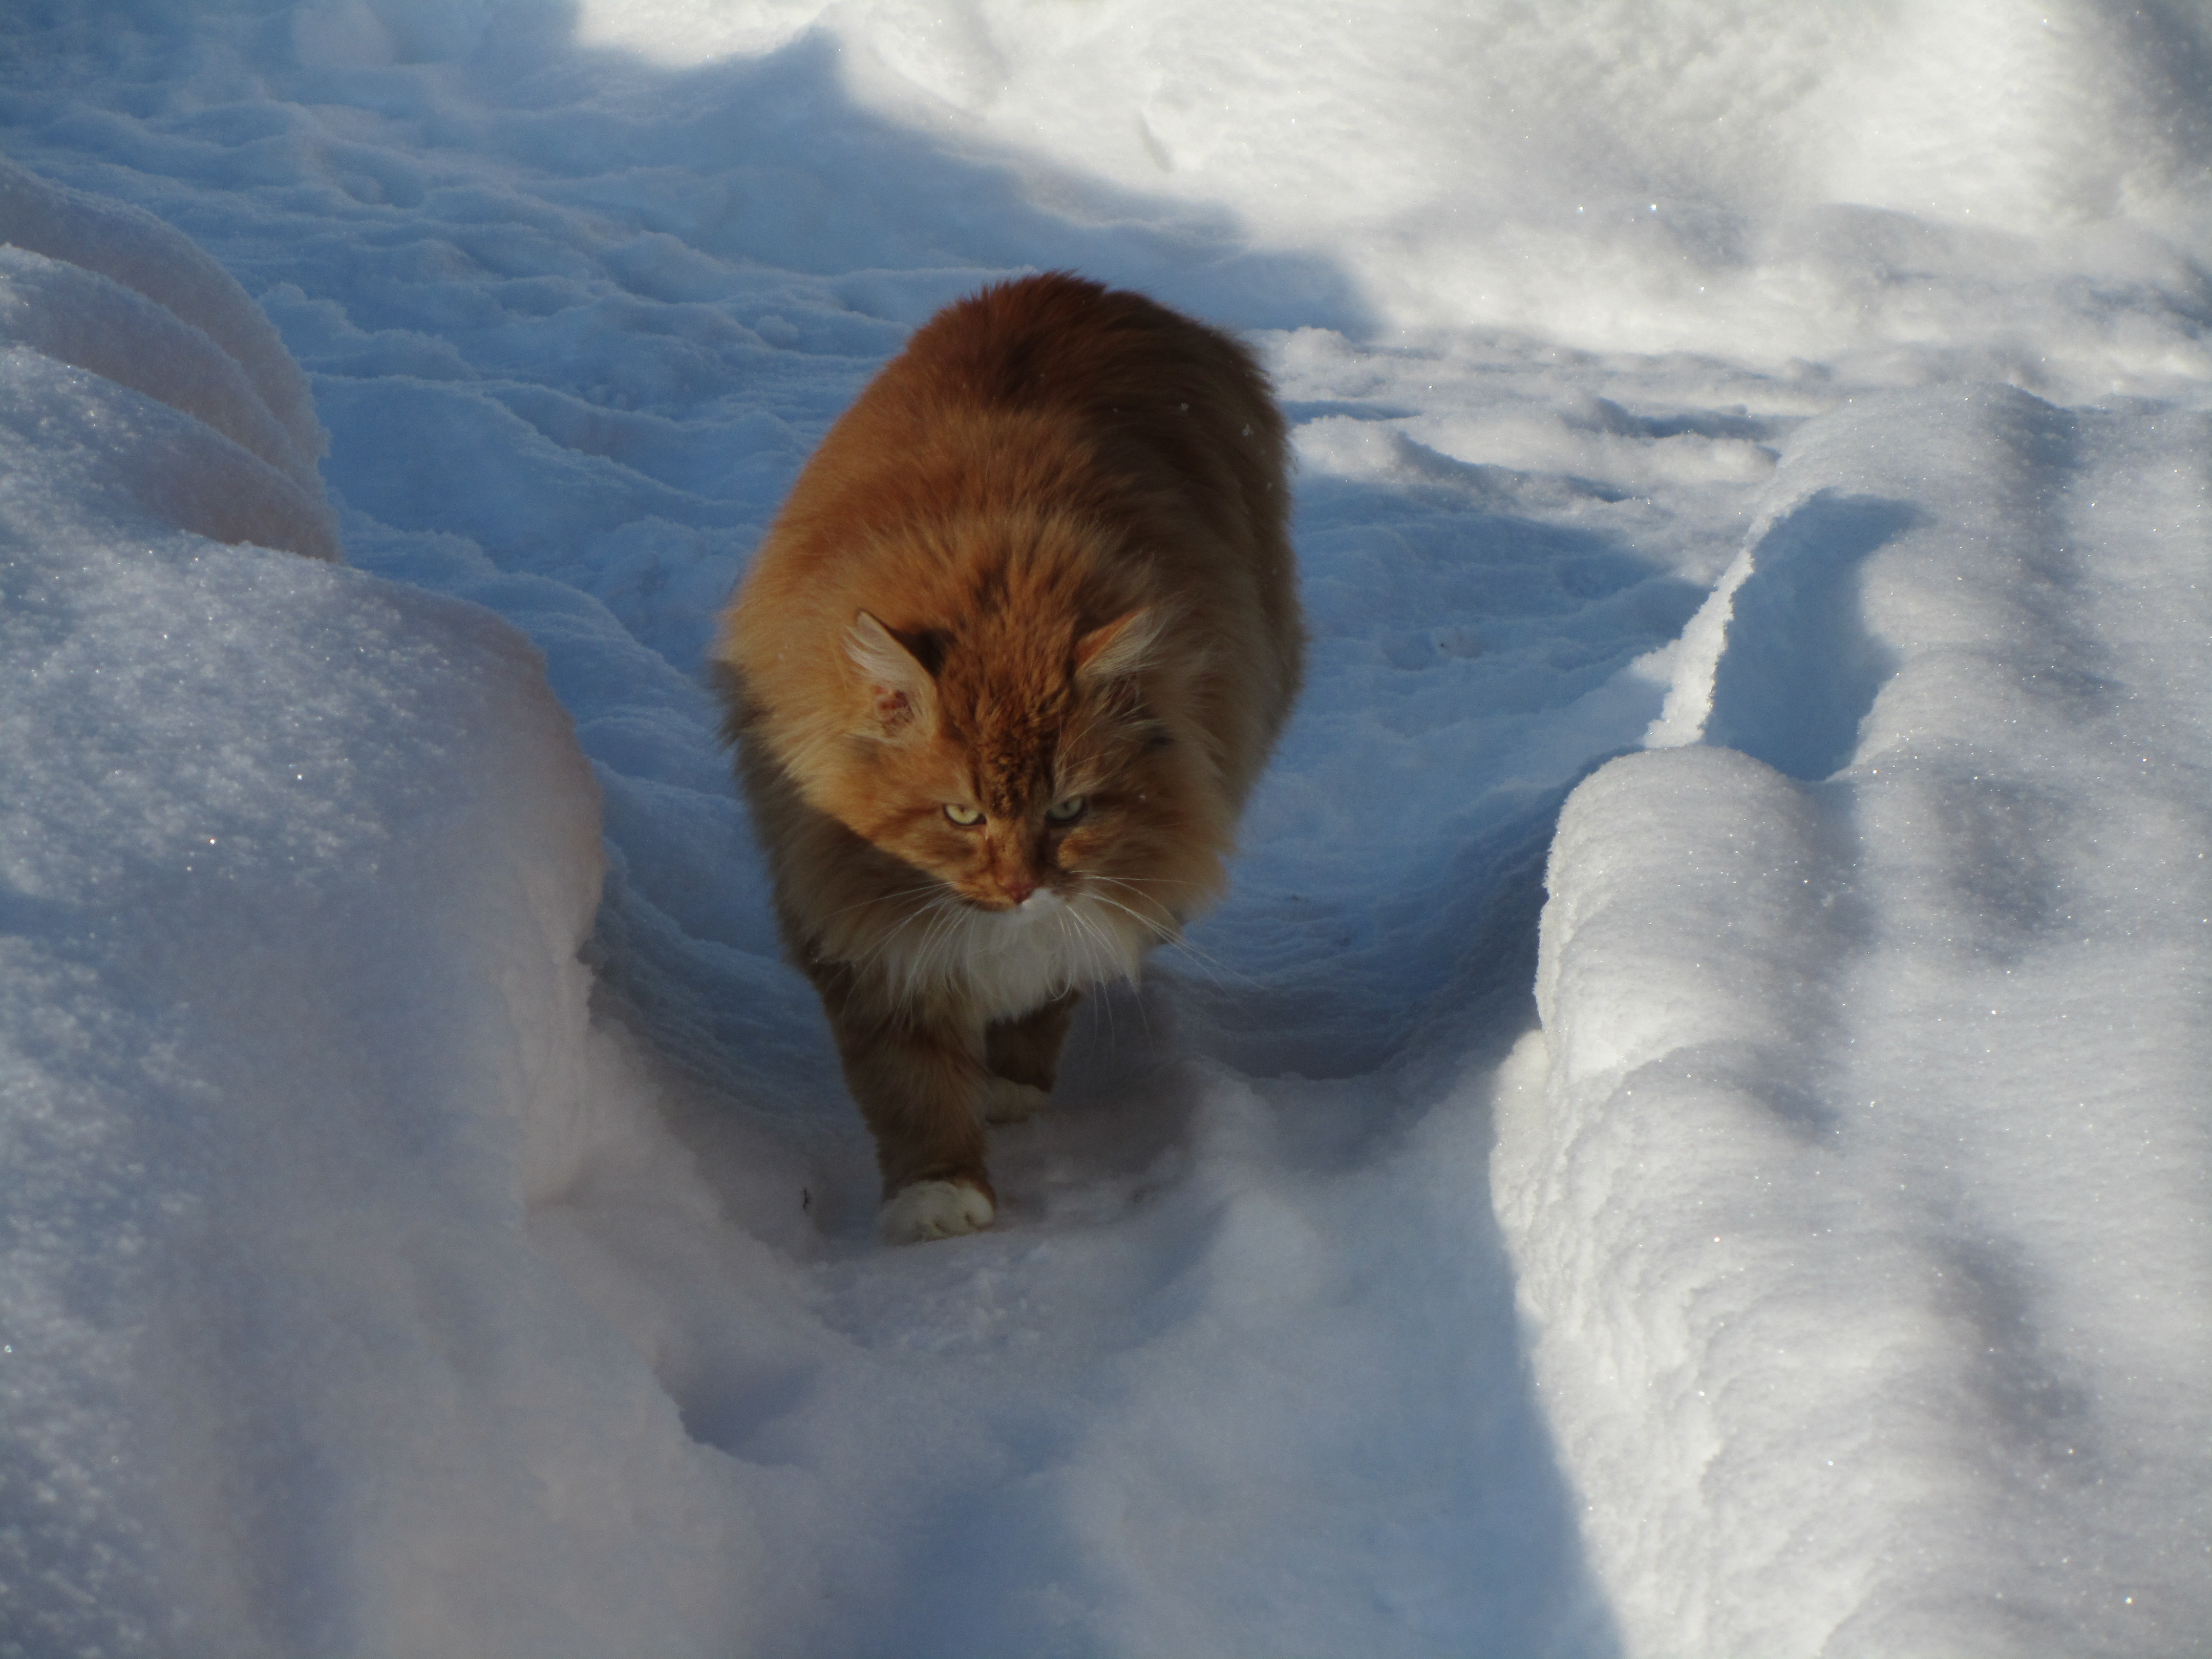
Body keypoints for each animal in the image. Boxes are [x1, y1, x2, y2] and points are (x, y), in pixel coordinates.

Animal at [712, 273, 1291, 1239]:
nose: (1021, 887)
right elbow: (910, 1085)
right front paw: (939, 1194)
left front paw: (1008, 1084)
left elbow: (1052, 988)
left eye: (1068, 810)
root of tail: (1075, 286)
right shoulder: (860, 937)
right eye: (962, 814)